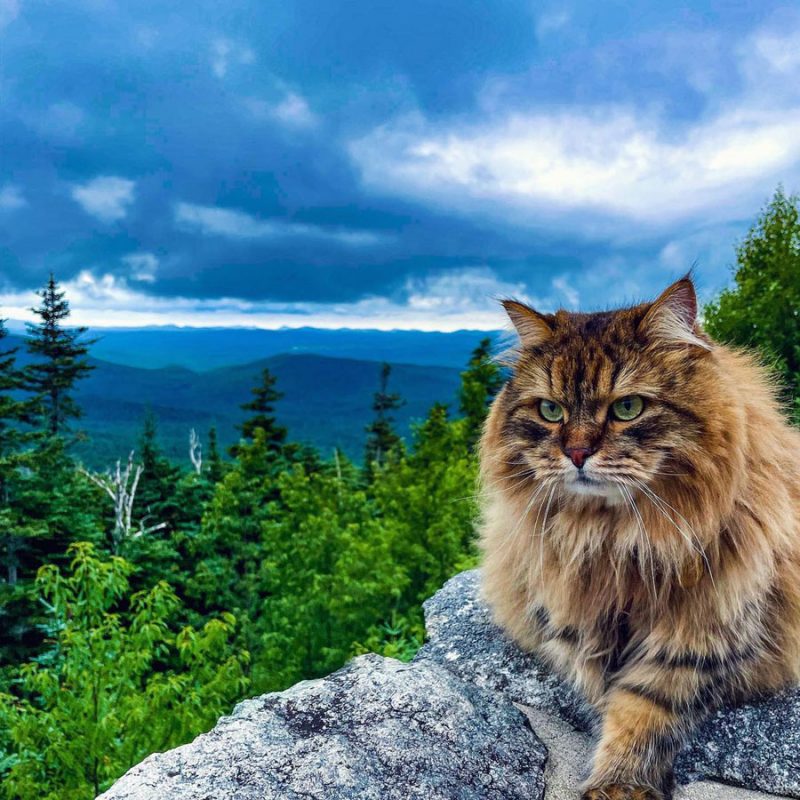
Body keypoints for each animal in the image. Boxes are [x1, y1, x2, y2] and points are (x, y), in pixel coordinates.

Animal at [478, 276, 796, 800]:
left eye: (627, 408)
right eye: (550, 411)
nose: (576, 453)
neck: (616, 540)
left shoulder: (701, 638)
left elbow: (643, 712)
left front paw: (620, 785)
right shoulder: (568, 620)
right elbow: (598, 690)